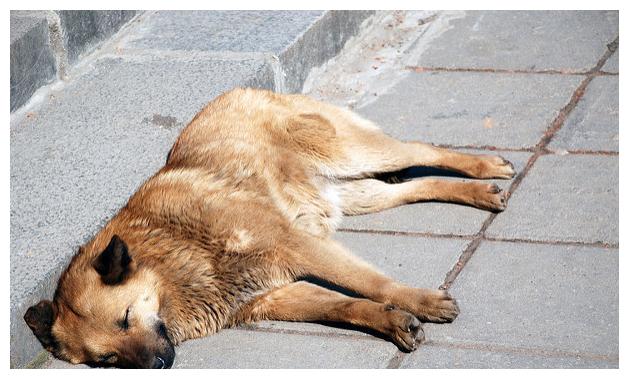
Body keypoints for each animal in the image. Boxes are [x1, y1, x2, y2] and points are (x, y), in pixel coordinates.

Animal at [24, 88, 516, 368]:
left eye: (126, 319)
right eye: (107, 359)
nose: (158, 365)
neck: (170, 257)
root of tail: (243, 88)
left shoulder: (296, 245)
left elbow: (370, 282)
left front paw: (418, 301)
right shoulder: (273, 296)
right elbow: (344, 305)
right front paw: (392, 321)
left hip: (351, 154)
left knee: (420, 149)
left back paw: (485, 167)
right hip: (350, 196)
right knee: (414, 186)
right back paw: (478, 192)